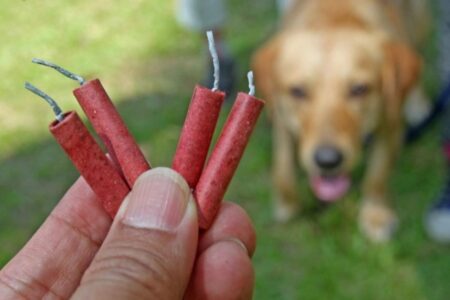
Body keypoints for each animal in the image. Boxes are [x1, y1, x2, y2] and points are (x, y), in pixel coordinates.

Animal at [251, 0, 430, 241]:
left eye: (359, 89)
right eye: (297, 91)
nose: (328, 161)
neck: (335, 15)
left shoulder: (391, 125)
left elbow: (377, 175)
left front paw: (375, 214)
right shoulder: (281, 117)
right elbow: (283, 166)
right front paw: (287, 202)